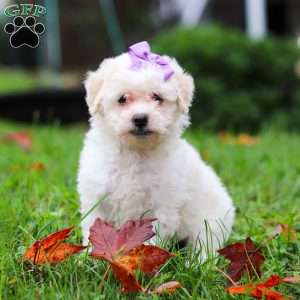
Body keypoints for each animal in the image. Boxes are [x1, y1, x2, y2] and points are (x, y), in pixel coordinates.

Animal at [77, 41, 234, 256]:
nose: (140, 118)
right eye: (122, 98)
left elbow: (151, 239)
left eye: (157, 97)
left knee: (206, 247)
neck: (135, 152)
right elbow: (93, 228)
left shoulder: (162, 205)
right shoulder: (96, 197)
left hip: (211, 223)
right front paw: (87, 258)